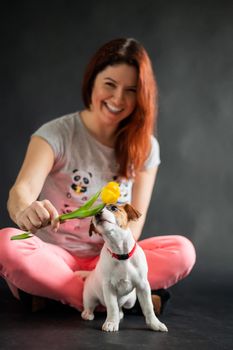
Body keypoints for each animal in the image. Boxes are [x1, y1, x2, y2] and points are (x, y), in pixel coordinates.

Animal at [80, 204, 167, 332]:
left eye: (113, 208)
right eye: (95, 211)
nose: (97, 214)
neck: (121, 254)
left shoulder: (143, 286)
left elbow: (148, 306)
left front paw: (155, 323)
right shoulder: (109, 287)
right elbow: (112, 307)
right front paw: (111, 322)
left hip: (131, 300)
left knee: (121, 306)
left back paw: (120, 313)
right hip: (89, 296)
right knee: (91, 305)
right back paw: (88, 313)